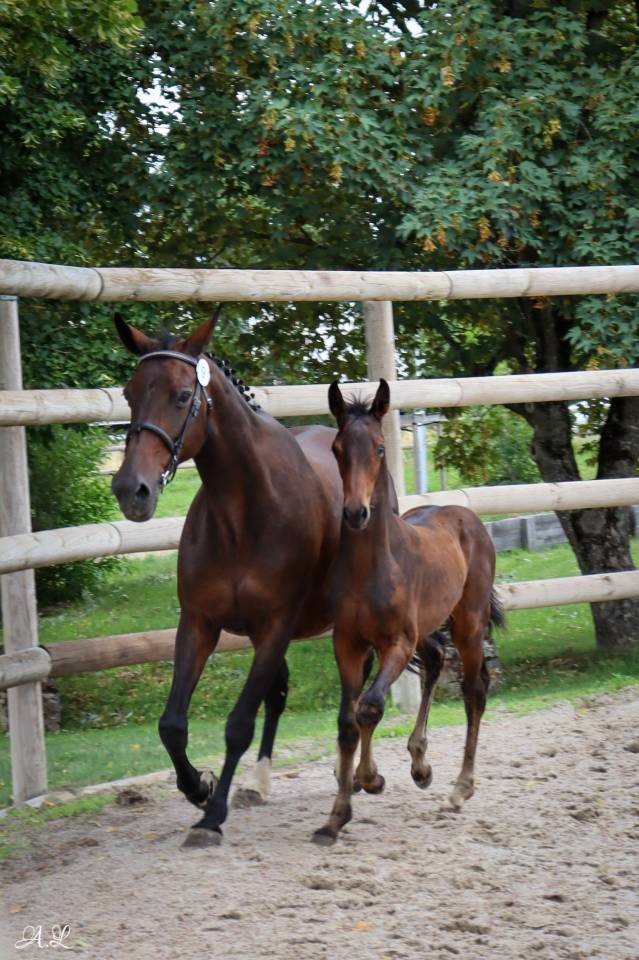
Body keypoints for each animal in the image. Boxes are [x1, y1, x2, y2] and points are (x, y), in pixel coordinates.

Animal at [111, 313, 347, 846]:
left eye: (182, 395)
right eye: (129, 392)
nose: (131, 490)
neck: (245, 512)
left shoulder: (277, 626)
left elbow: (238, 723)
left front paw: (211, 816)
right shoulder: (201, 623)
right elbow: (172, 724)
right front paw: (199, 788)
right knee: (278, 693)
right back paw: (257, 784)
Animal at [312, 379, 503, 845]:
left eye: (380, 448)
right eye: (337, 449)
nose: (355, 512)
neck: (373, 566)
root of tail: (465, 515)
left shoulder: (396, 643)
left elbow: (370, 707)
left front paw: (370, 779)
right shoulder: (349, 644)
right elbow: (348, 719)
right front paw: (335, 817)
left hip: (468, 623)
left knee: (474, 690)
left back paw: (459, 789)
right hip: (427, 629)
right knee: (435, 661)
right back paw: (420, 764)